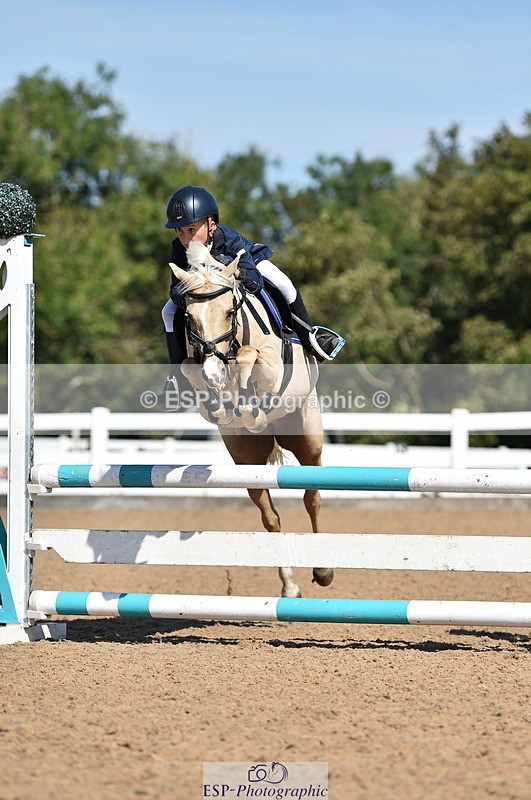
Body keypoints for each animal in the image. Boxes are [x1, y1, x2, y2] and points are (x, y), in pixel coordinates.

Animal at [169, 241, 333, 598]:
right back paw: (290, 587)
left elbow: (249, 356)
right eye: (188, 317)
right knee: (270, 517)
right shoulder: (193, 362)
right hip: (247, 459)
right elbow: (192, 369)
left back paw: (324, 570)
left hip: (306, 437)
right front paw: (225, 404)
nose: (214, 372)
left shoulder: (273, 366)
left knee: (312, 497)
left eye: (229, 312)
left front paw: (244, 397)